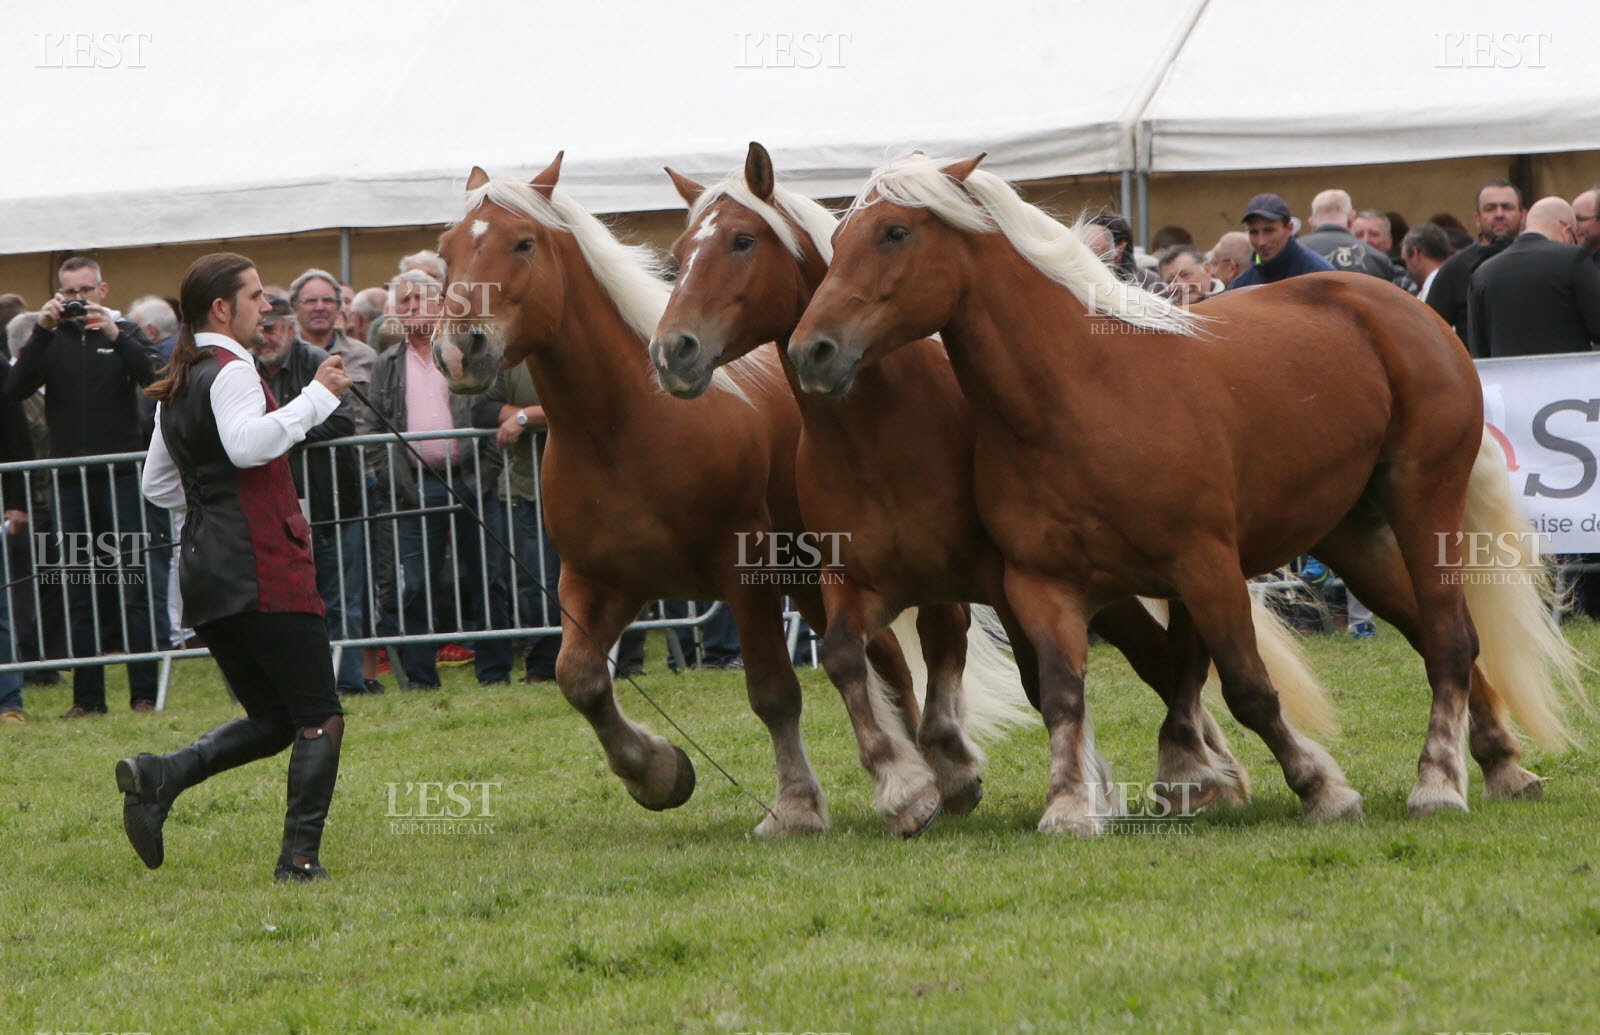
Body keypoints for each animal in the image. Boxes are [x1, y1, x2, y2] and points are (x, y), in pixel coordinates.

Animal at [432, 151, 921, 831]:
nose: (459, 349)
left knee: (890, 663)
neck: (627, 428)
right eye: (447, 251)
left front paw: (795, 805)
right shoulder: (598, 581)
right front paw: (658, 772)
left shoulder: (746, 579)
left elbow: (773, 691)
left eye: (523, 243)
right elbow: (578, 677)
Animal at [649, 141, 1337, 831]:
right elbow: (851, 658)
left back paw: (1205, 771)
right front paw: (913, 786)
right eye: (677, 255)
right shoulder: (857, 580)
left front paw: (1058, 786)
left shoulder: (993, 582)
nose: (672, 351)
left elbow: (1023, 676)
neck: (874, 435)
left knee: (1162, 661)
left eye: (741, 241)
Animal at [787, 151, 1574, 831]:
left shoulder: (1206, 567)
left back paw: (1438, 782)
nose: (811, 351)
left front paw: (1321, 788)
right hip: (1356, 537)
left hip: (1421, 508)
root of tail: (1411, 311)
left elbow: (1248, 689)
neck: (1081, 395)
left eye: (895, 232)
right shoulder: (1041, 585)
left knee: (1448, 636)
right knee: (1441, 637)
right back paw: (1502, 766)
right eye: (840, 237)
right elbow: (1065, 694)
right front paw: (1071, 806)